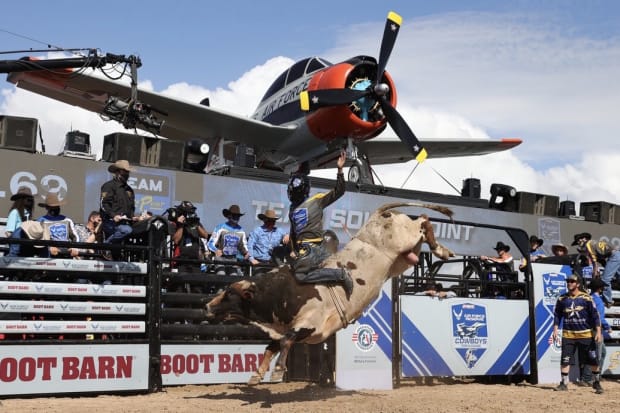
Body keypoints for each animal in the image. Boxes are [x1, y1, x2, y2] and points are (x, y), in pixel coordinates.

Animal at [206, 201, 452, 384]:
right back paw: (443, 249)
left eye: (229, 293)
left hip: (405, 238)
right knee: (423, 223)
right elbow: (272, 345)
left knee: (422, 219)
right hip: (404, 258)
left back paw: (442, 250)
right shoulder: (293, 328)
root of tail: (379, 214)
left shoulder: (310, 323)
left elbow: (285, 341)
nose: (208, 305)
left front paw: (276, 372)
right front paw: (257, 375)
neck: (282, 292)